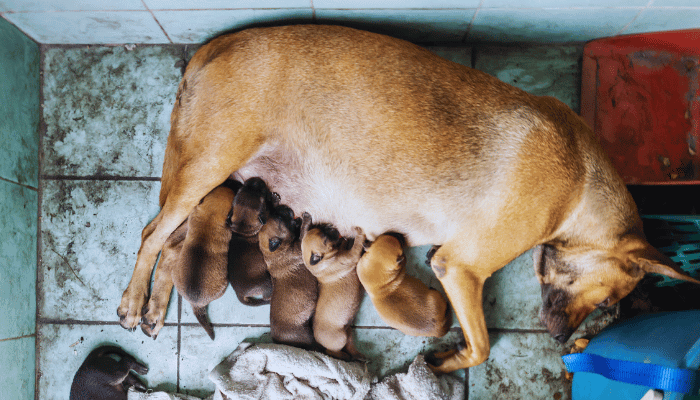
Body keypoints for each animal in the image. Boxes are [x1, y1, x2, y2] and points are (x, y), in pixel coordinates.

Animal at [258, 205, 318, 348]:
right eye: (280, 218)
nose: (285, 208)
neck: (273, 253)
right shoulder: (300, 246)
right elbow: (303, 233)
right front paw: (306, 219)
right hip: (305, 336)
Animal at [300, 212, 366, 360]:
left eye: (323, 229)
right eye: (325, 240)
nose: (332, 227)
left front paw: (346, 241)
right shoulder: (351, 256)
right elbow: (357, 245)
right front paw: (359, 233)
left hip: (347, 332)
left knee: (350, 345)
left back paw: (359, 357)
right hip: (340, 338)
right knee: (332, 351)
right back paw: (345, 357)